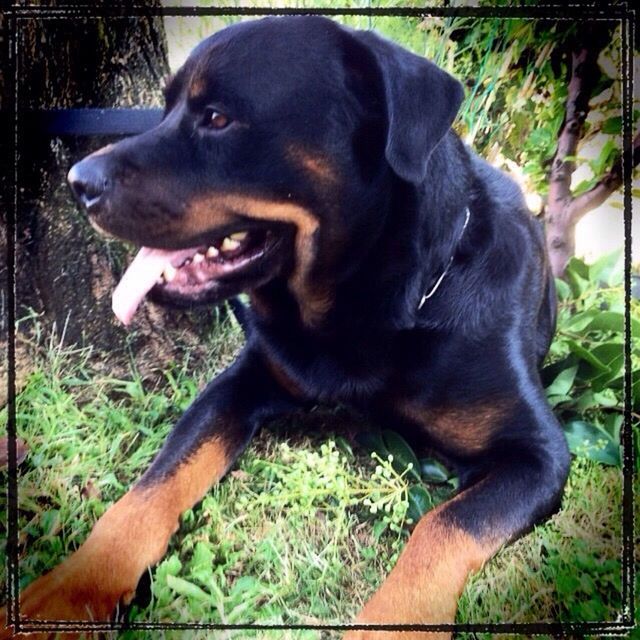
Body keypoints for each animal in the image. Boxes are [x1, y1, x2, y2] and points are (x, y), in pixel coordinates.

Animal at [6, 16, 568, 640]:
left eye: (217, 118)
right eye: (166, 109)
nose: (78, 181)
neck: (373, 309)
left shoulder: (538, 455)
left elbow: (445, 526)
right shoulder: (242, 381)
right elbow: (156, 482)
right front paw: (76, 583)